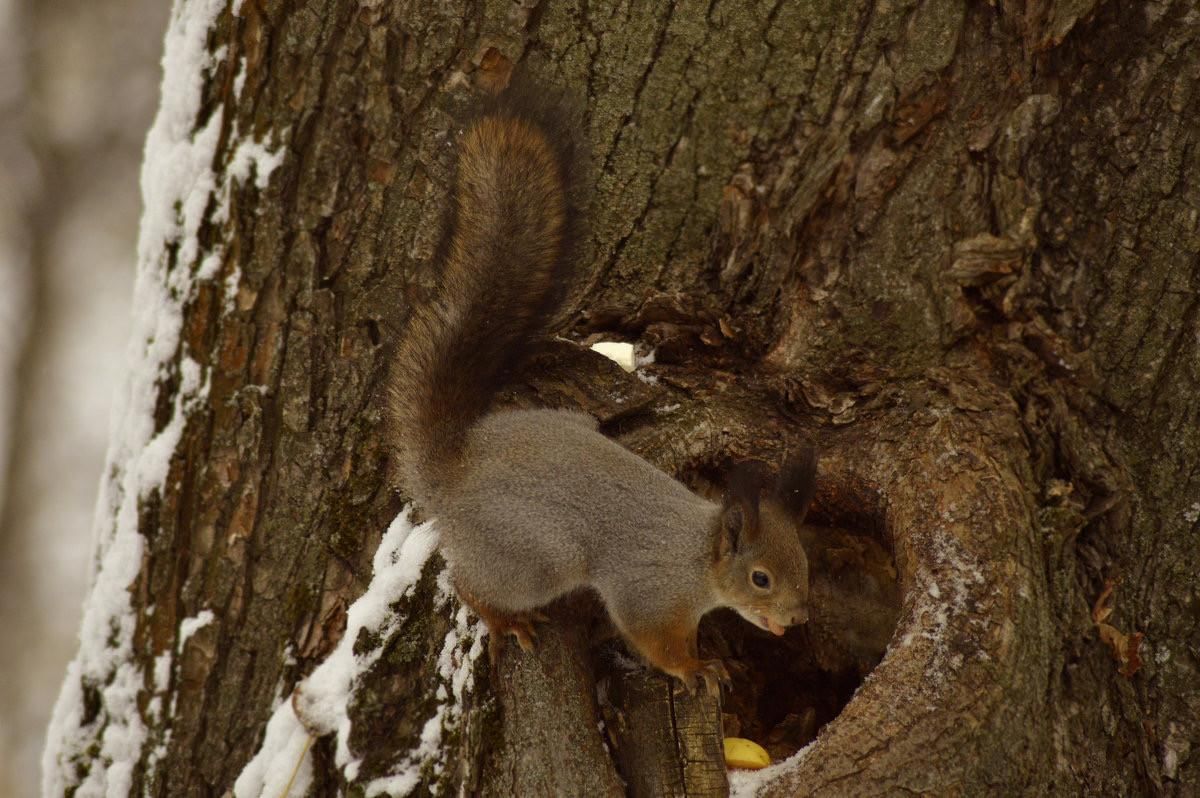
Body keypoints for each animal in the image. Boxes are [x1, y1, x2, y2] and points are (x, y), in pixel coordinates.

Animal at [388, 78, 820, 696]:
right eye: (760, 578)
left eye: (805, 564)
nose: (798, 617)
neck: (697, 558)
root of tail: (451, 469)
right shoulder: (649, 593)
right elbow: (655, 641)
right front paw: (697, 667)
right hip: (535, 558)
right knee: (473, 584)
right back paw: (505, 618)